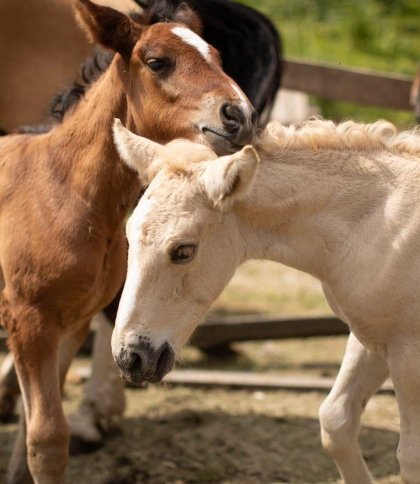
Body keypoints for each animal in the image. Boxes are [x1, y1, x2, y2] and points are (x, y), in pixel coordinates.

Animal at [0, 0, 282, 454]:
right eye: (157, 62)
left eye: (217, 58)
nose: (240, 114)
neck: (61, 184)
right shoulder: (30, 318)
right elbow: (44, 436)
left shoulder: (69, 320)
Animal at [112, 118, 420, 484]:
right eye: (128, 236)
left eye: (183, 250)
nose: (130, 358)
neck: (377, 224)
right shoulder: (372, 336)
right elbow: (336, 423)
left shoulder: (408, 351)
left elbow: (410, 459)